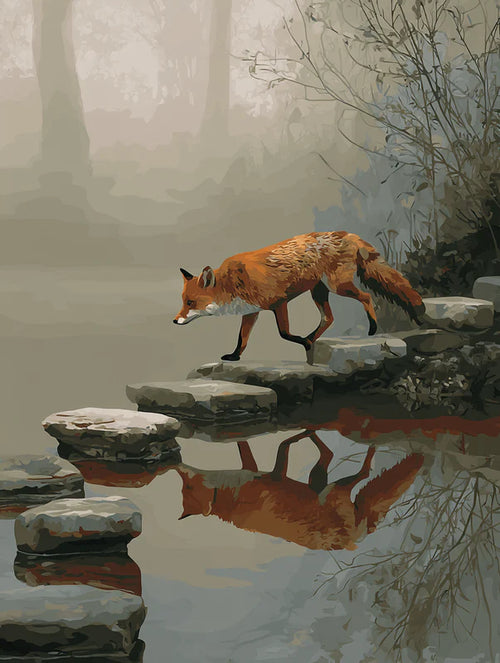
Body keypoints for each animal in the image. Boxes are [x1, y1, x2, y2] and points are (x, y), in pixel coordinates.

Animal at [174, 231, 424, 361]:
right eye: (183, 302)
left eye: (190, 302)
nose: (175, 321)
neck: (231, 282)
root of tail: (344, 233)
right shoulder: (251, 312)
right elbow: (241, 339)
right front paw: (235, 356)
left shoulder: (278, 302)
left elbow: (284, 333)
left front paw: (301, 340)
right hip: (319, 291)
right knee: (328, 318)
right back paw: (312, 340)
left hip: (337, 286)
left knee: (366, 297)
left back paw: (371, 327)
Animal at [175, 431, 424, 551]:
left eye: (187, 485)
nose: (177, 465)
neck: (231, 496)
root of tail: (349, 542)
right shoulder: (274, 475)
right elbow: (283, 443)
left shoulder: (261, 472)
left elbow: (268, 444)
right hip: (326, 485)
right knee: (345, 462)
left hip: (321, 483)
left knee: (336, 456)